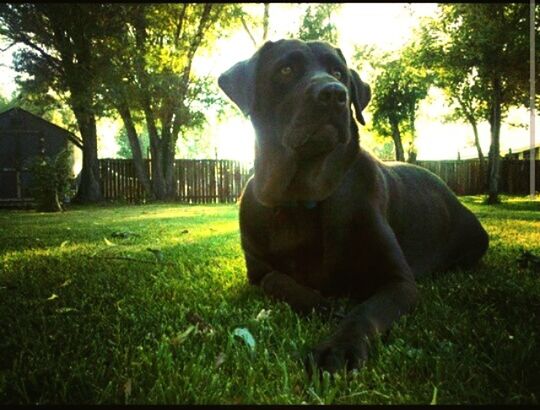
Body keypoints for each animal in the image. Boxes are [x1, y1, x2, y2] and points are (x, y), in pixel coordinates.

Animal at [216, 39, 490, 374]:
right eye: (286, 69)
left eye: (338, 72)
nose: (334, 93)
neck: (300, 196)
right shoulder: (256, 269)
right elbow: (275, 280)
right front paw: (318, 302)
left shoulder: (398, 281)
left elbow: (366, 311)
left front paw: (339, 346)